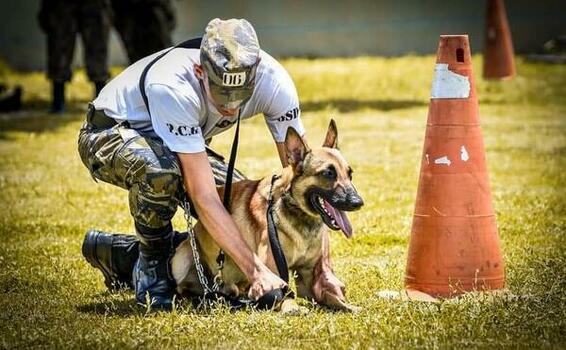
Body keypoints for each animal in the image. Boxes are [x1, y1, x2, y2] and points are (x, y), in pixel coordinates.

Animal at [172, 119, 364, 312]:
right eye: (328, 173)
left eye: (350, 174)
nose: (358, 202)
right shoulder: (276, 272)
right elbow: (283, 292)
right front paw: (291, 306)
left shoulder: (309, 280)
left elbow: (330, 296)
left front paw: (347, 305)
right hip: (181, 258)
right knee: (183, 287)